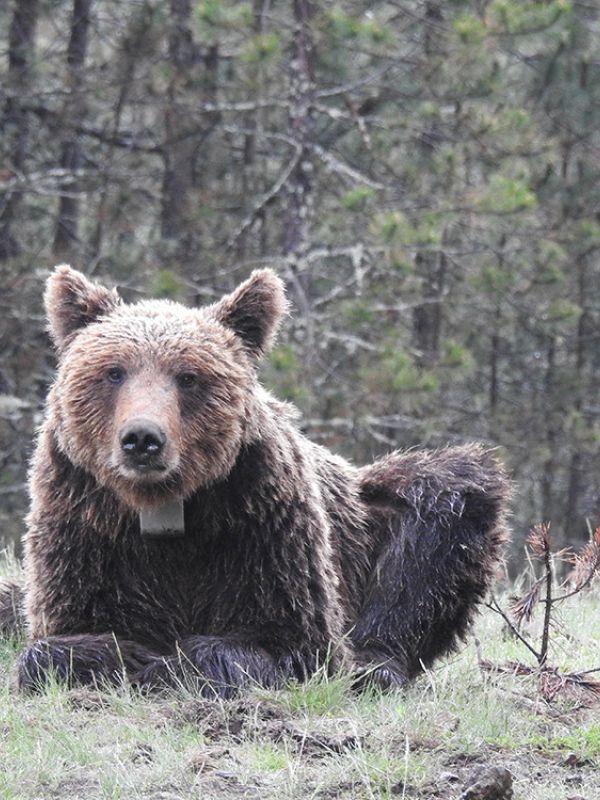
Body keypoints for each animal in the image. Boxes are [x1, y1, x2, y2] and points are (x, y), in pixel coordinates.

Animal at [11, 265, 509, 696]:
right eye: (113, 371)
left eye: (188, 377)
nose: (142, 439)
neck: (165, 506)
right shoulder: (88, 527)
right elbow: (59, 638)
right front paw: (126, 655)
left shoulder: (259, 522)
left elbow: (288, 638)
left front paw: (172, 663)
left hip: (378, 518)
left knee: (440, 514)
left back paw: (377, 665)